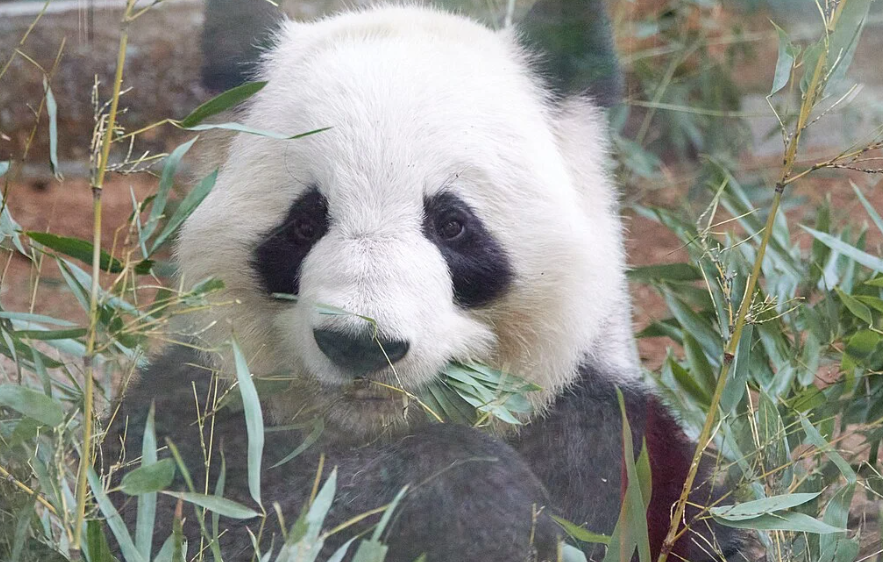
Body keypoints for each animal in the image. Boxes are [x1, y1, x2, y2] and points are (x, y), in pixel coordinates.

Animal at [102, 3, 742, 561]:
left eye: (452, 224)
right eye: (304, 223)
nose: (362, 344)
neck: (378, 428)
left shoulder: (622, 454)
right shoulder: (196, 415)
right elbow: (201, 511)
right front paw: (473, 500)